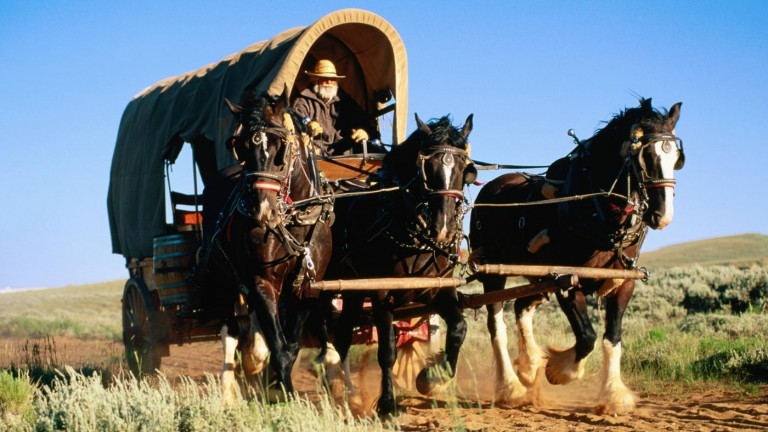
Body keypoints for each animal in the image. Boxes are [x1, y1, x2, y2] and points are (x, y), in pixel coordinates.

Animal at [188, 86, 334, 404]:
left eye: (281, 147)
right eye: (240, 146)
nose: (260, 209)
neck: (294, 218)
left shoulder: (308, 287)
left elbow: (291, 345)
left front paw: (277, 387)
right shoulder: (261, 281)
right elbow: (278, 346)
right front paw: (286, 396)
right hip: (224, 280)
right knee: (230, 332)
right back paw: (229, 393)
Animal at [326, 113, 480, 416]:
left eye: (463, 167)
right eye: (428, 166)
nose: (443, 228)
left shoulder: (439, 288)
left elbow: (459, 329)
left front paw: (432, 377)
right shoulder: (382, 292)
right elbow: (387, 350)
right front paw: (387, 403)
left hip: (352, 289)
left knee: (343, 333)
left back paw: (347, 390)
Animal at [468, 96, 684, 414]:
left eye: (677, 158)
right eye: (645, 156)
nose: (663, 215)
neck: (598, 211)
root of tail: (490, 188)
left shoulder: (624, 282)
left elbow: (612, 338)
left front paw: (613, 394)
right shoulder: (567, 280)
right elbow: (587, 337)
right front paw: (560, 370)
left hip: (537, 276)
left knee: (521, 306)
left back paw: (529, 365)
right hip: (493, 270)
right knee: (497, 325)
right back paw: (511, 386)